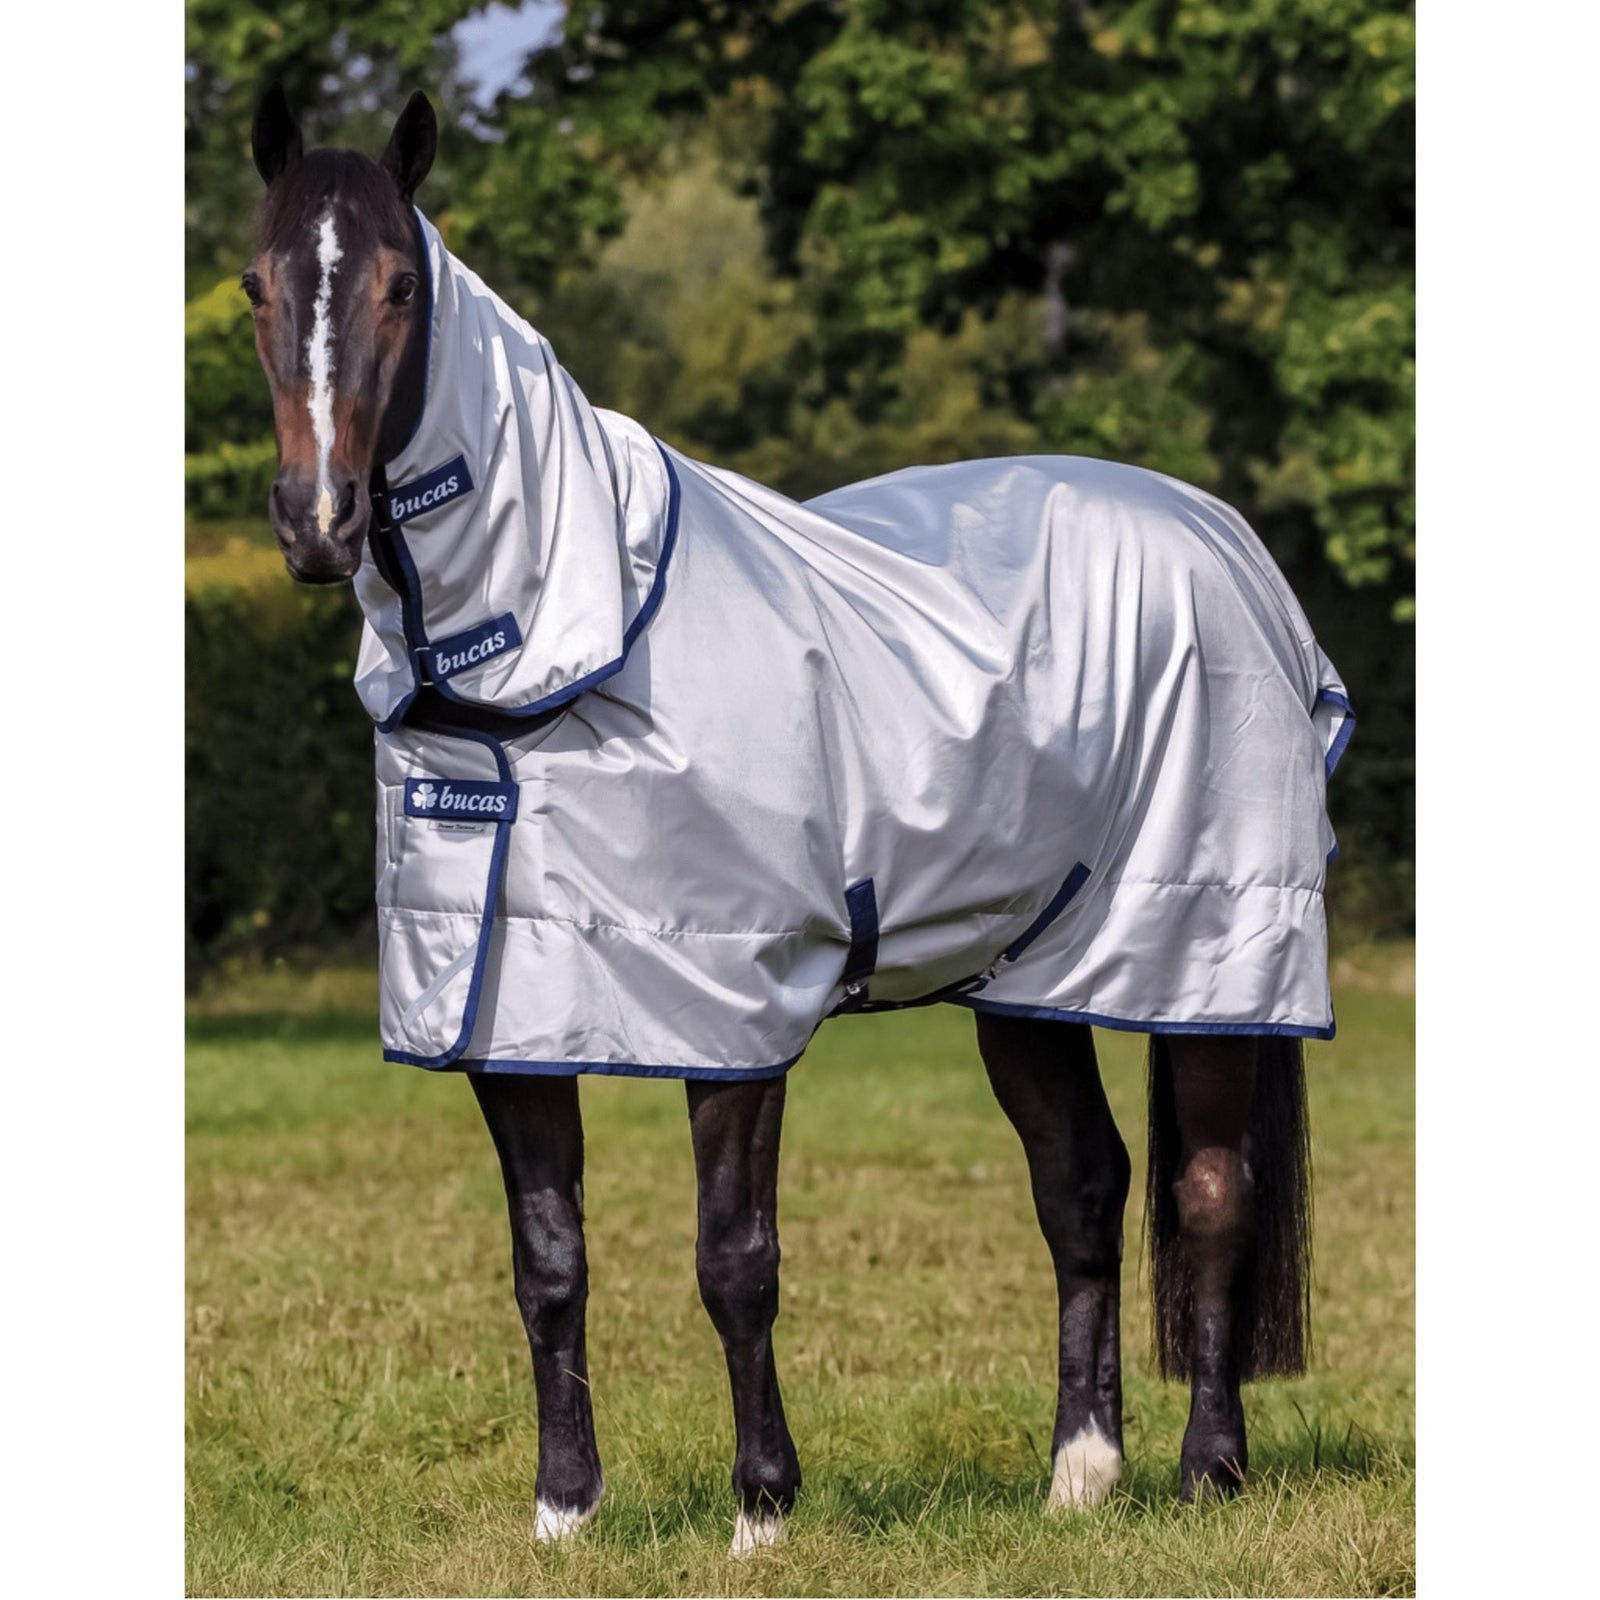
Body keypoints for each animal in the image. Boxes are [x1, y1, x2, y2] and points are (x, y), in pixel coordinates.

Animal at [241, 86, 1348, 1554]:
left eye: (399, 285)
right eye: (254, 286)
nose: (318, 521)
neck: (559, 644)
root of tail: (1222, 536)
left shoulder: (734, 1004)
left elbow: (734, 1259)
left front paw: (762, 1508)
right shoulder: (503, 1008)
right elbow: (548, 1260)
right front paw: (563, 1512)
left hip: (1207, 959)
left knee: (1211, 1191)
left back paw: (1205, 1472)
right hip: (1030, 977)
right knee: (1083, 1188)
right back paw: (1078, 1475)